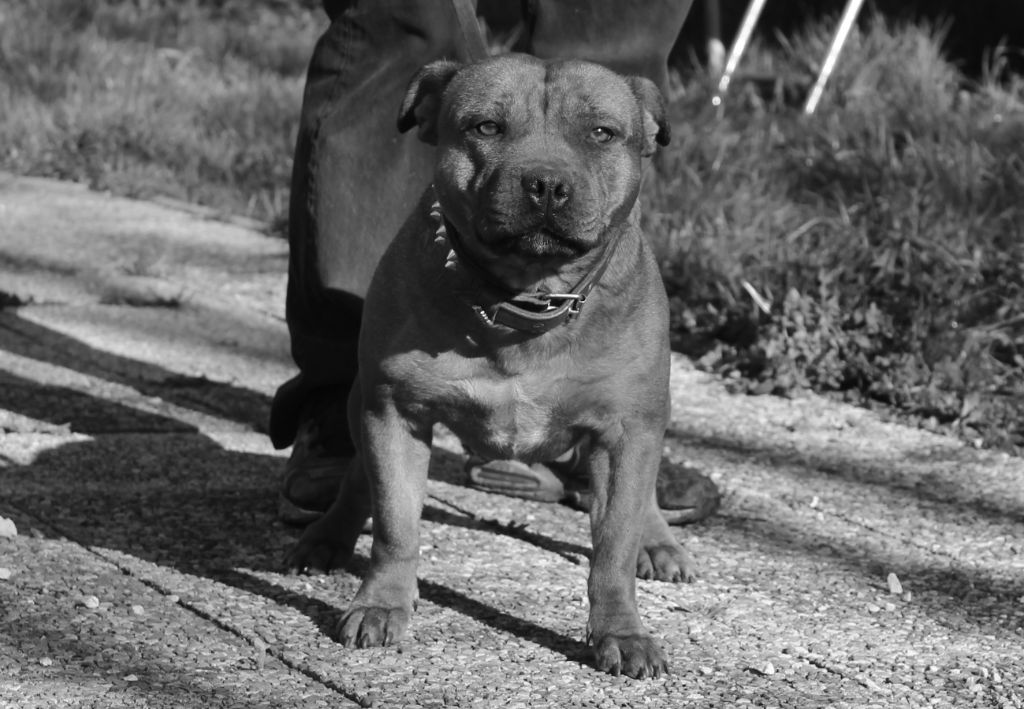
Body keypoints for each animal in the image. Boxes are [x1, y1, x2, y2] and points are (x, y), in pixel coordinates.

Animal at [286, 53, 694, 679]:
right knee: (358, 478)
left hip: (646, 421)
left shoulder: (627, 431)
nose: (546, 184)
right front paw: (381, 604)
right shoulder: (395, 413)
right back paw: (328, 536)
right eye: (486, 127)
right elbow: (396, 523)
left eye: (601, 133)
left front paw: (622, 632)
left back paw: (658, 540)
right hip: (361, 402)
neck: (526, 300)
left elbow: (613, 550)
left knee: (638, 499)